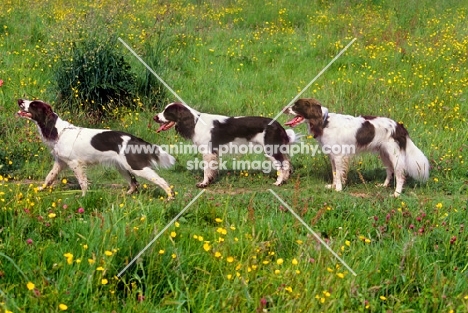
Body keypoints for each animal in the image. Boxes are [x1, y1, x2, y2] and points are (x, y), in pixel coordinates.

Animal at [16, 98, 176, 197]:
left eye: (33, 105)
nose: (19, 100)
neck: (58, 130)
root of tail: (135, 139)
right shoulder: (60, 162)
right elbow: (49, 177)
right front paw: (40, 189)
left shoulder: (75, 163)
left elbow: (82, 182)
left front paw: (83, 196)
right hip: (121, 167)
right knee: (134, 184)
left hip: (135, 166)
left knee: (160, 180)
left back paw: (170, 197)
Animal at [155, 101, 298, 186]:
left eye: (167, 112)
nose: (155, 117)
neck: (195, 122)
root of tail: (278, 125)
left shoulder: (208, 152)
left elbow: (206, 170)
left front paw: (204, 183)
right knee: (287, 162)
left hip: (271, 150)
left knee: (283, 165)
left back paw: (278, 182)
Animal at [284, 98, 430, 195]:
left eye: (296, 106)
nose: (284, 109)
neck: (324, 122)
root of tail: (399, 126)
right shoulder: (332, 156)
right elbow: (335, 172)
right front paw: (333, 186)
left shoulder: (339, 156)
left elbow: (338, 173)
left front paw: (338, 189)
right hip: (384, 153)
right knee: (390, 171)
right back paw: (383, 186)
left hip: (395, 155)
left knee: (400, 175)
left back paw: (396, 194)